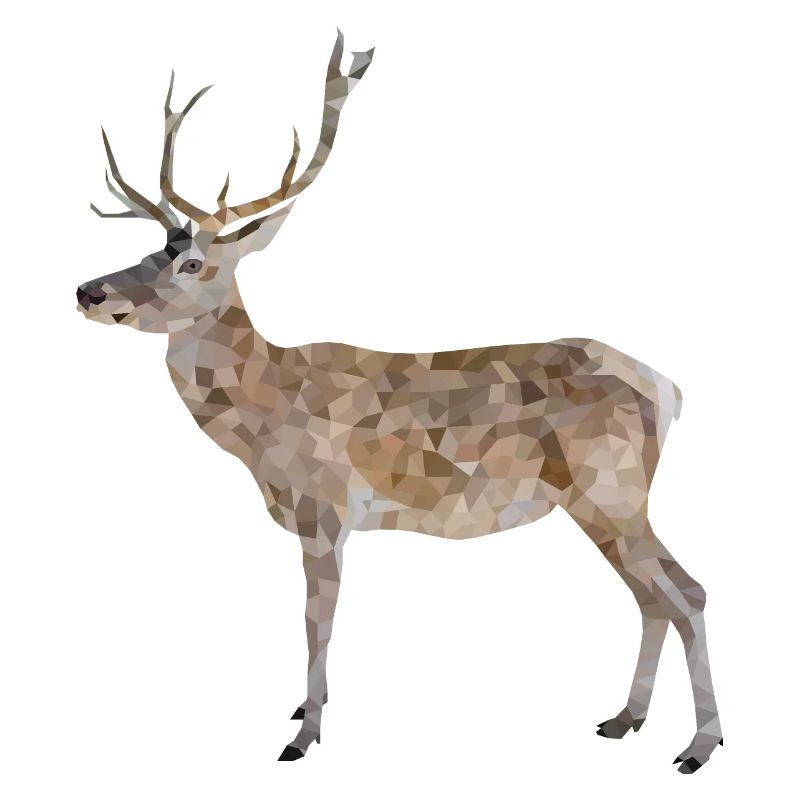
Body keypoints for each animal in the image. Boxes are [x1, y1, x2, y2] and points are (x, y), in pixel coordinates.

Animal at [76, 31, 722, 771]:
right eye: (150, 249)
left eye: (191, 263)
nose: (89, 291)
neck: (264, 418)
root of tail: (670, 389)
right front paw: (305, 710)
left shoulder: (326, 507)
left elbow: (317, 622)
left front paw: (302, 735)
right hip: (599, 503)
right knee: (651, 598)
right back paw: (625, 719)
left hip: (613, 488)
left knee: (687, 592)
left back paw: (699, 745)